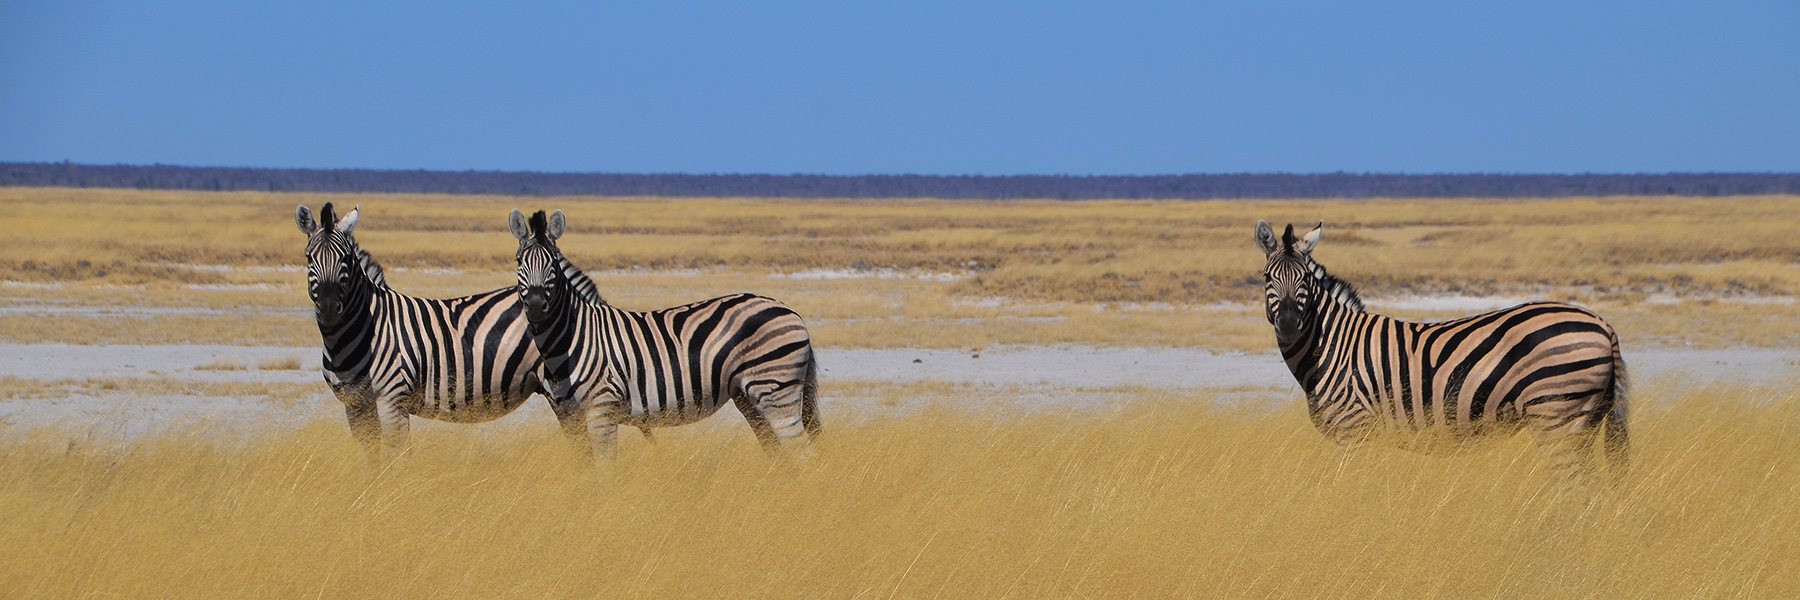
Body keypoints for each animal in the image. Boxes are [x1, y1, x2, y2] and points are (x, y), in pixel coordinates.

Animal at [297, 203, 583, 459]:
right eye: (309, 257)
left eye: (345, 259)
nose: (328, 309)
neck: (366, 329)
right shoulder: (354, 405)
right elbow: (370, 460)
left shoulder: (392, 398)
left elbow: (396, 458)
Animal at [507, 208, 817, 459]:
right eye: (518, 260)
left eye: (552, 264)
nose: (535, 305)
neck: (573, 337)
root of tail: (790, 311)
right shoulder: (570, 415)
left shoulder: (602, 409)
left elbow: (604, 470)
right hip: (748, 397)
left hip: (777, 389)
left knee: (802, 454)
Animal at [1252, 218, 1634, 482]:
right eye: (1267, 278)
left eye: (1305, 280)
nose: (1288, 325)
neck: (1334, 344)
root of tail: (1603, 324)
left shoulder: (1354, 430)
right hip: (1582, 421)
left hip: (1556, 415)